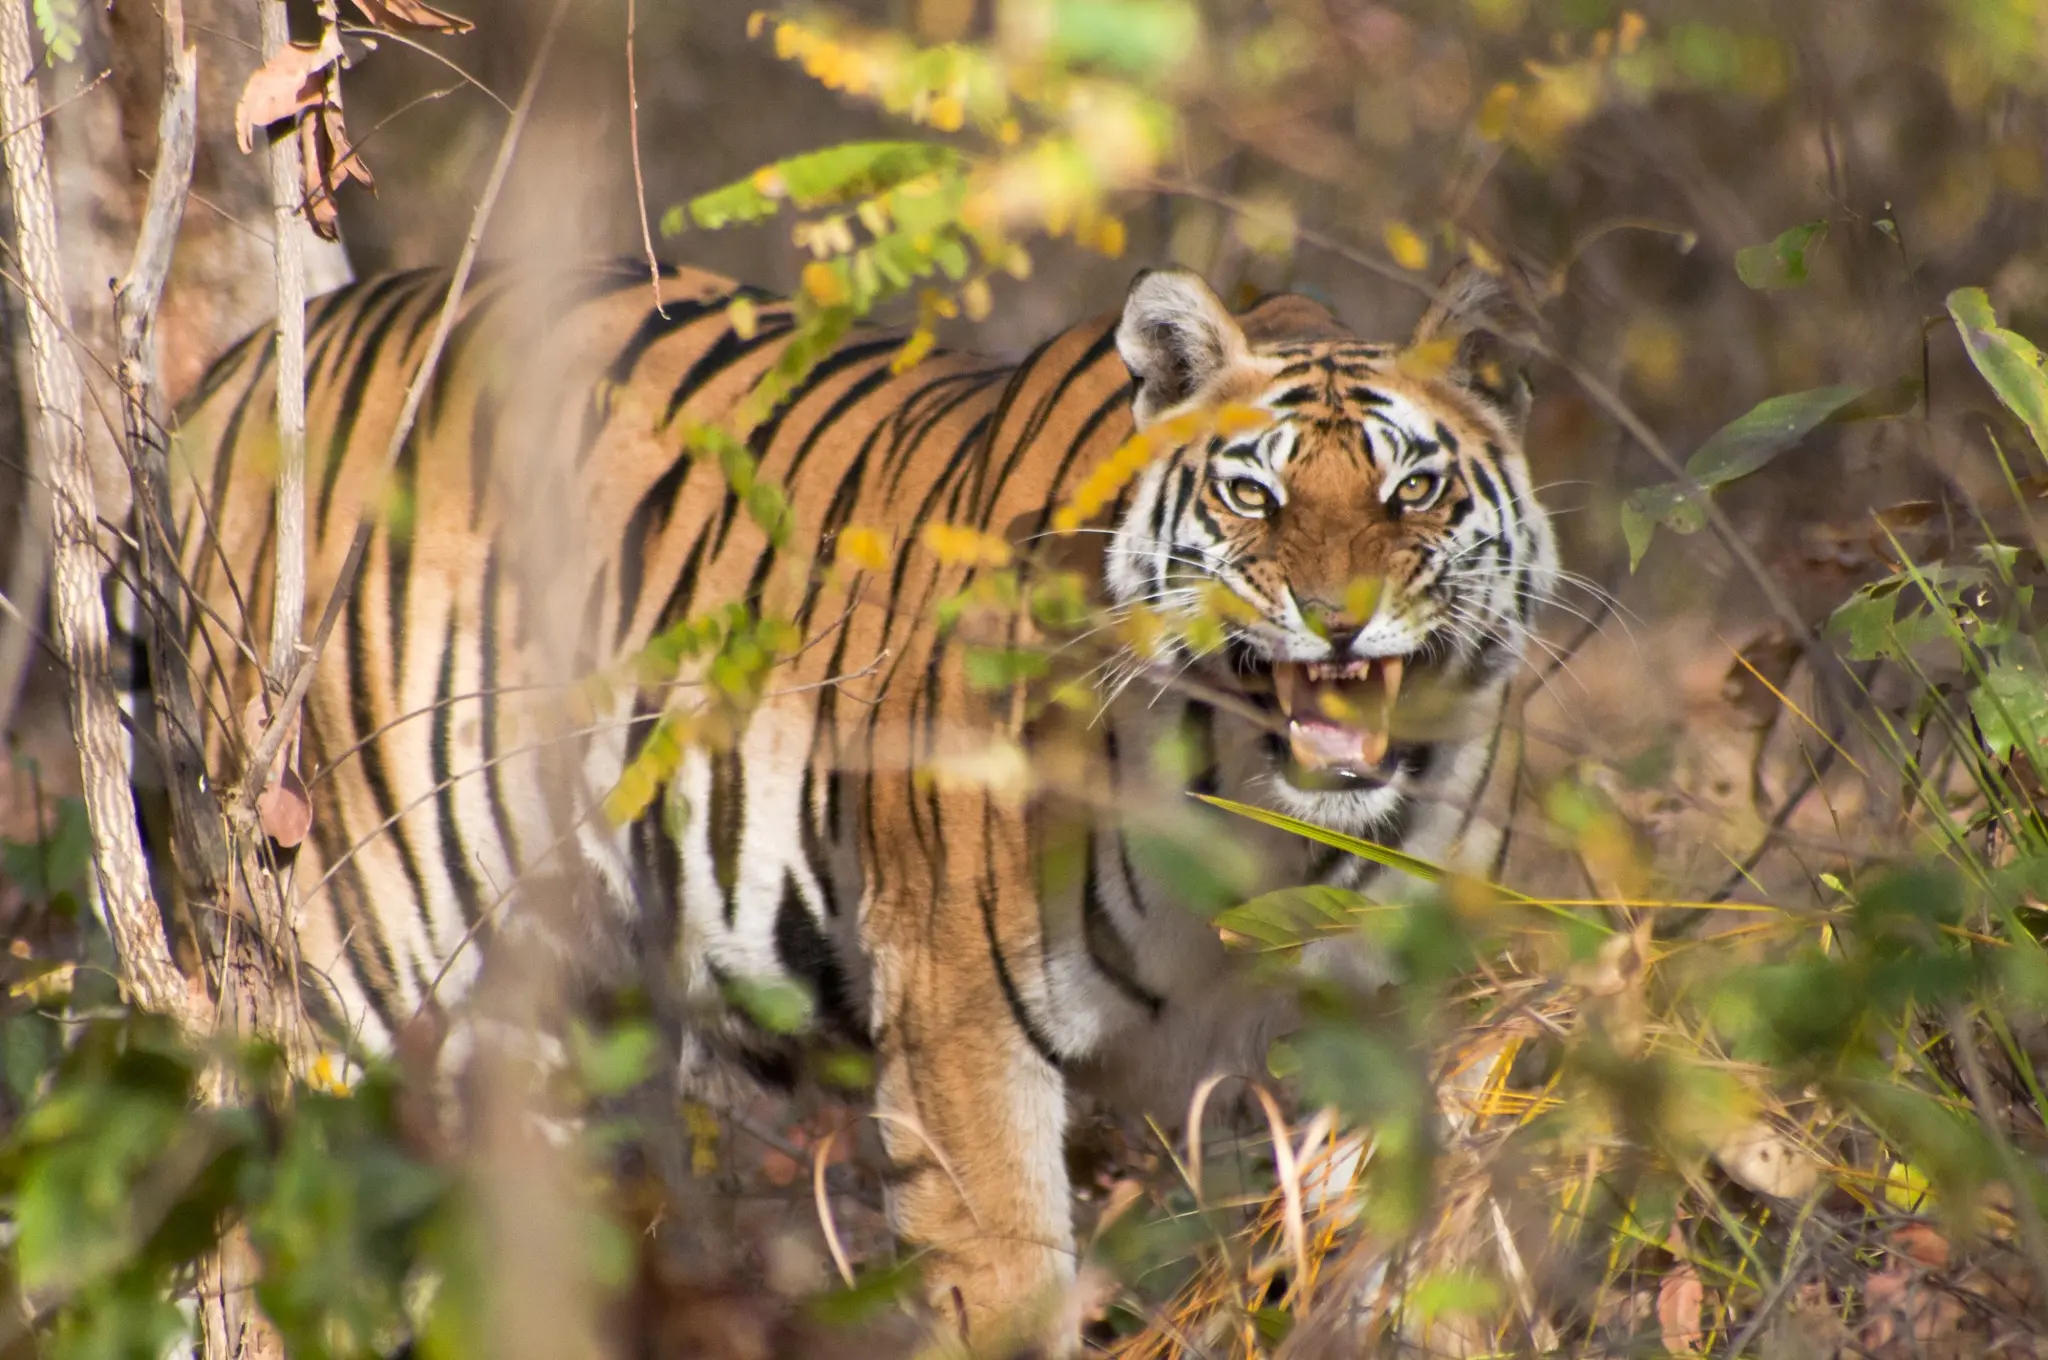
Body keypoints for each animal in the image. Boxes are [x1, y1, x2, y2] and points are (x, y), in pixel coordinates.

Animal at [172, 258, 1548, 1351]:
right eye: (1251, 495)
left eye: (1412, 491)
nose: (1336, 618)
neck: (1265, 819)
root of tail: (248, 361)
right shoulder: (960, 1028)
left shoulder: (1395, 1037)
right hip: (343, 967)